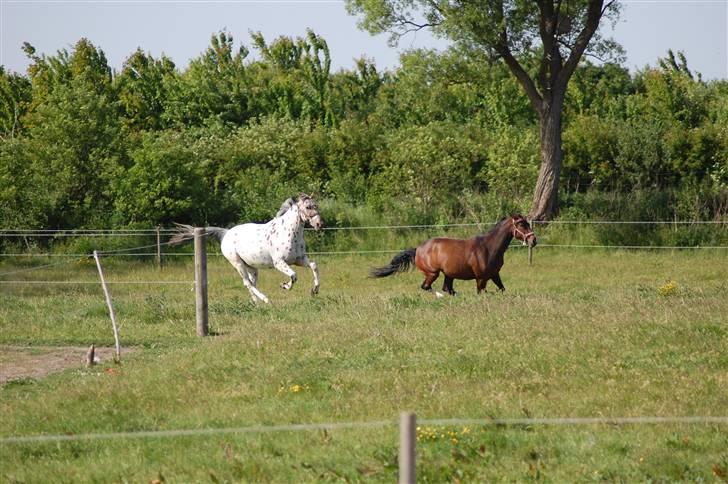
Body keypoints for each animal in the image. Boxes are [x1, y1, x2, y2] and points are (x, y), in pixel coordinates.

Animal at [172, 194, 322, 302]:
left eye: (316, 206)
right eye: (308, 207)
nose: (319, 224)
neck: (289, 232)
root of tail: (226, 233)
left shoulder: (299, 259)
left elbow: (314, 265)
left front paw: (314, 290)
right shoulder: (279, 263)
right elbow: (293, 275)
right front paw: (285, 286)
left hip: (252, 267)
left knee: (251, 283)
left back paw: (256, 303)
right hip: (238, 264)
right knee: (247, 283)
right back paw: (265, 299)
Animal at [370, 216, 536, 294]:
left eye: (527, 223)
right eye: (521, 224)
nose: (533, 240)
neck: (489, 247)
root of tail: (418, 249)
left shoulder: (494, 275)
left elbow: (502, 289)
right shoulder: (481, 278)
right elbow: (481, 292)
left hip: (448, 274)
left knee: (446, 288)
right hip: (433, 273)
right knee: (427, 287)